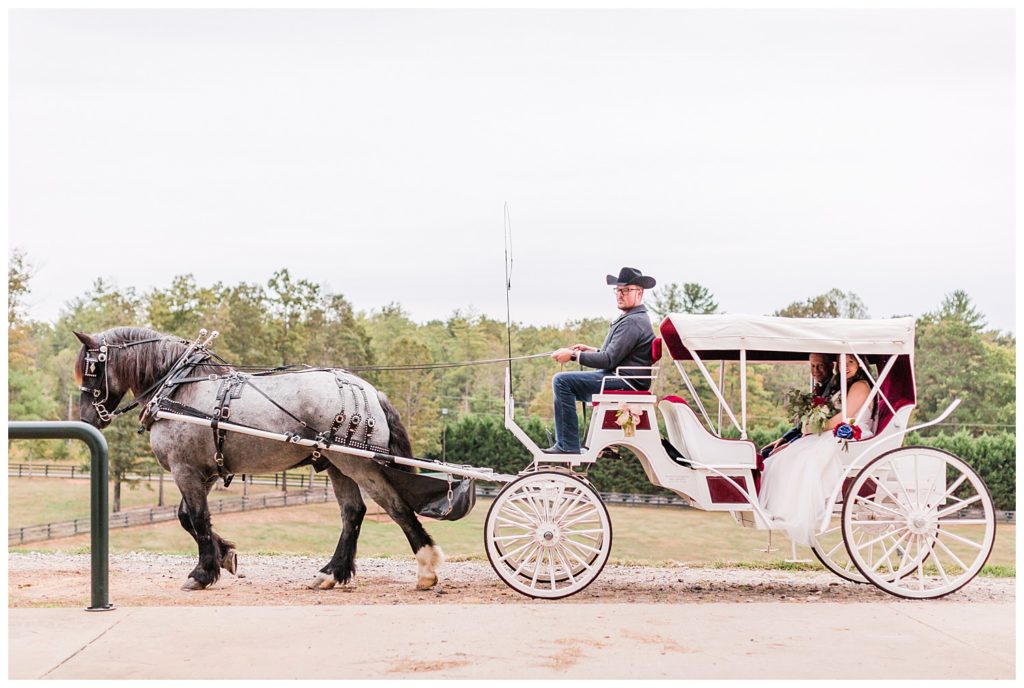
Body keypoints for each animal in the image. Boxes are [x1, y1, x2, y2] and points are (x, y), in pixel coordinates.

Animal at [70, 325, 442, 589]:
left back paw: (426, 567)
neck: (180, 389)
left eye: (92, 370)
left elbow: (199, 519)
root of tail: (369, 390)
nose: (87, 418)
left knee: (396, 507)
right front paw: (225, 556)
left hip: (358, 464)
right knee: (353, 513)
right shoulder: (204, 471)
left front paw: (202, 572)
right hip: (338, 465)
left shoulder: (185, 470)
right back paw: (332, 572)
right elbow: (187, 517)